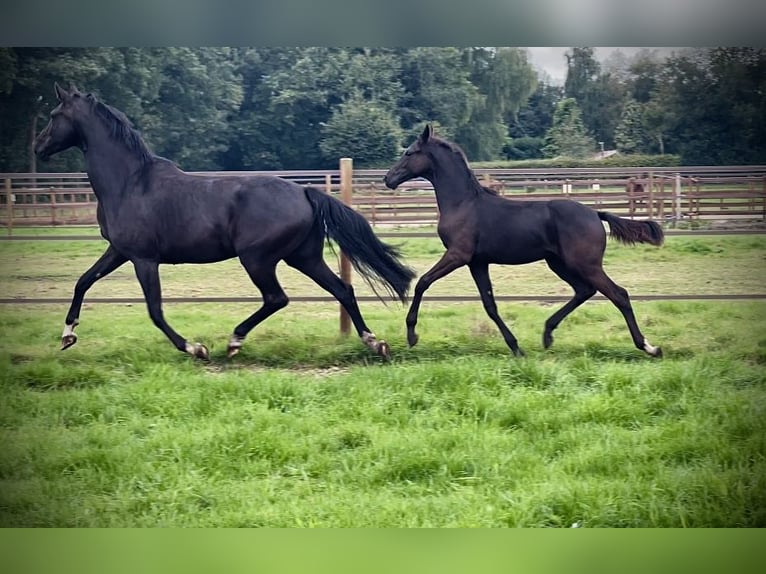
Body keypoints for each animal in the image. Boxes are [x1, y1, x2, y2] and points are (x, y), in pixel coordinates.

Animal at [33, 82, 414, 360]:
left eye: (53, 113)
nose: (37, 146)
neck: (130, 182)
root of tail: (304, 191)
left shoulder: (143, 258)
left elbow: (155, 310)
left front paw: (195, 348)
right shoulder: (119, 251)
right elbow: (83, 282)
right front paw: (68, 336)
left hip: (258, 259)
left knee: (277, 298)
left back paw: (234, 341)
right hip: (303, 257)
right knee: (341, 289)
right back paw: (375, 342)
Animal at [384, 126, 664, 360]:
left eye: (409, 152)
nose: (388, 178)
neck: (464, 203)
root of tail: (596, 214)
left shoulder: (458, 255)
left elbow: (423, 282)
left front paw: (411, 334)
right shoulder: (477, 262)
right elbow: (490, 305)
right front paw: (516, 347)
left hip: (585, 264)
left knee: (618, 294)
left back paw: (649, 347)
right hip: (558, 263)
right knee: (584, 291)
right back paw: (548, 333)